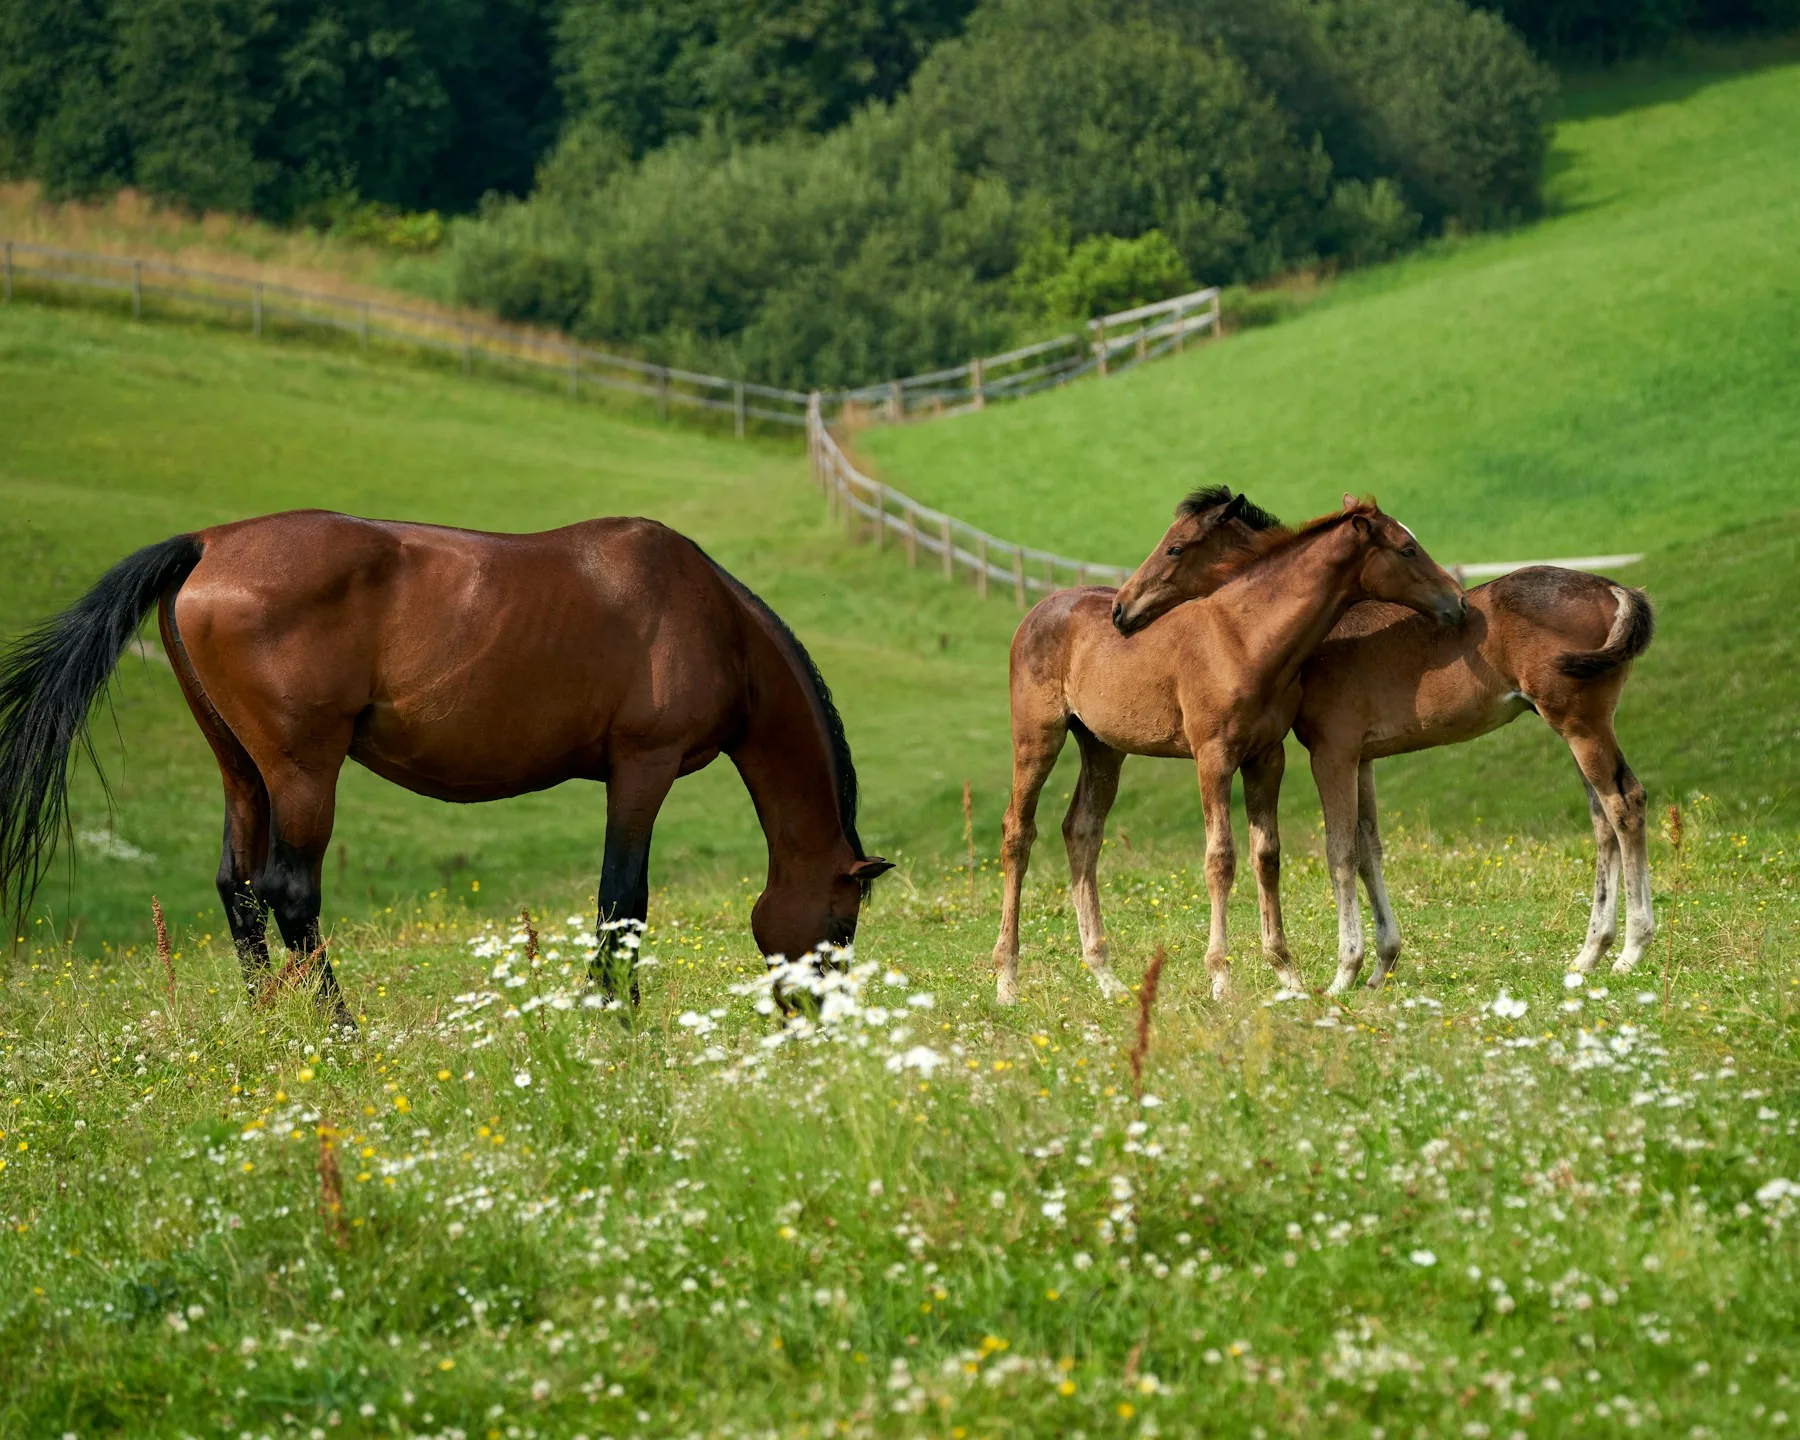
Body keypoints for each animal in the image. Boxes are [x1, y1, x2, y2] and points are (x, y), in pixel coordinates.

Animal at [0, 511, 892, 1023]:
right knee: (290, 891)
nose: (820, 1019)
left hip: (240, 768)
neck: (712, 619)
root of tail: (209, 545)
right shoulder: (644, 767)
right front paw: (615, 1015)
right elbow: (623, 901)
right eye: (839, 928)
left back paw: (266, 1025)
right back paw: (339, 1030)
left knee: (239, 888)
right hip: (301, 770)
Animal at [993, 494, 1464, 1005]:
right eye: (1407, 549)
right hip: (1038, 737)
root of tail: (1038, 610)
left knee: (1081, 830)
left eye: (1176, 548)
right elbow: (1220, 858)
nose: (1458, 602)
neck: (1243, 639)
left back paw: (1106, 976)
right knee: (1018, 832)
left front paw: (1286, 972)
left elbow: (1267, 855)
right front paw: (1220, 976)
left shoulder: (1267, 757)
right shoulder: (1213, 758)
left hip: (1102, 748)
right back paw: (1007, 979)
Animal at [1113, 500, 1655, 993]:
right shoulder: (1363, 758)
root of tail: (1614, 588)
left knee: (1624, 805)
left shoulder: (1332, 752)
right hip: (1574, 728)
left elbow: (1340, 852)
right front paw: (1381, 966)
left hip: (1581, 725)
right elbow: (1369, 847)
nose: (1121, 608)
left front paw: (1343, 973)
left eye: (1175, 547)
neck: (1314, 636)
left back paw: (1630, 950)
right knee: (1603, 819)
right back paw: (1589, 955)